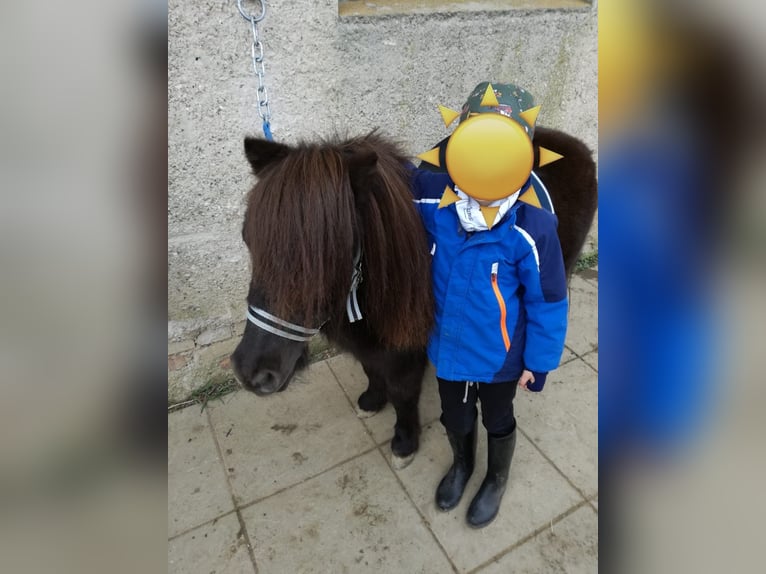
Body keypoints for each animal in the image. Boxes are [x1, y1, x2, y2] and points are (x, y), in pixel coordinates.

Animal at [231, 129, 596, 468]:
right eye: (248, 238)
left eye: (328, 252)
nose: (252, 373)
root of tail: (572, 142)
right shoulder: (370, 346)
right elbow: (371, 371)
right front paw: (371, 402)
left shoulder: (406, 353)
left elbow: (403, 394)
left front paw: (404, 443)